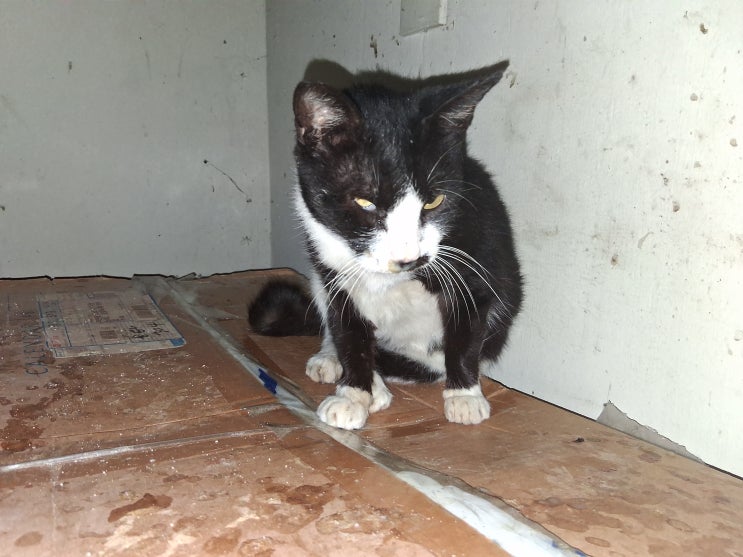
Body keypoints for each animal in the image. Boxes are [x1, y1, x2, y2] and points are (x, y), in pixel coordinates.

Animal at [249, 60, 523, 430]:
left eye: (434, 201)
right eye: (365, 202)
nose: (409, 259)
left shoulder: (479, 256)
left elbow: (465, 332)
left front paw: (464, 395)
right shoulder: (332, 268)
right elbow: (348, 330)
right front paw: (353, 393)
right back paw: (338, 362)